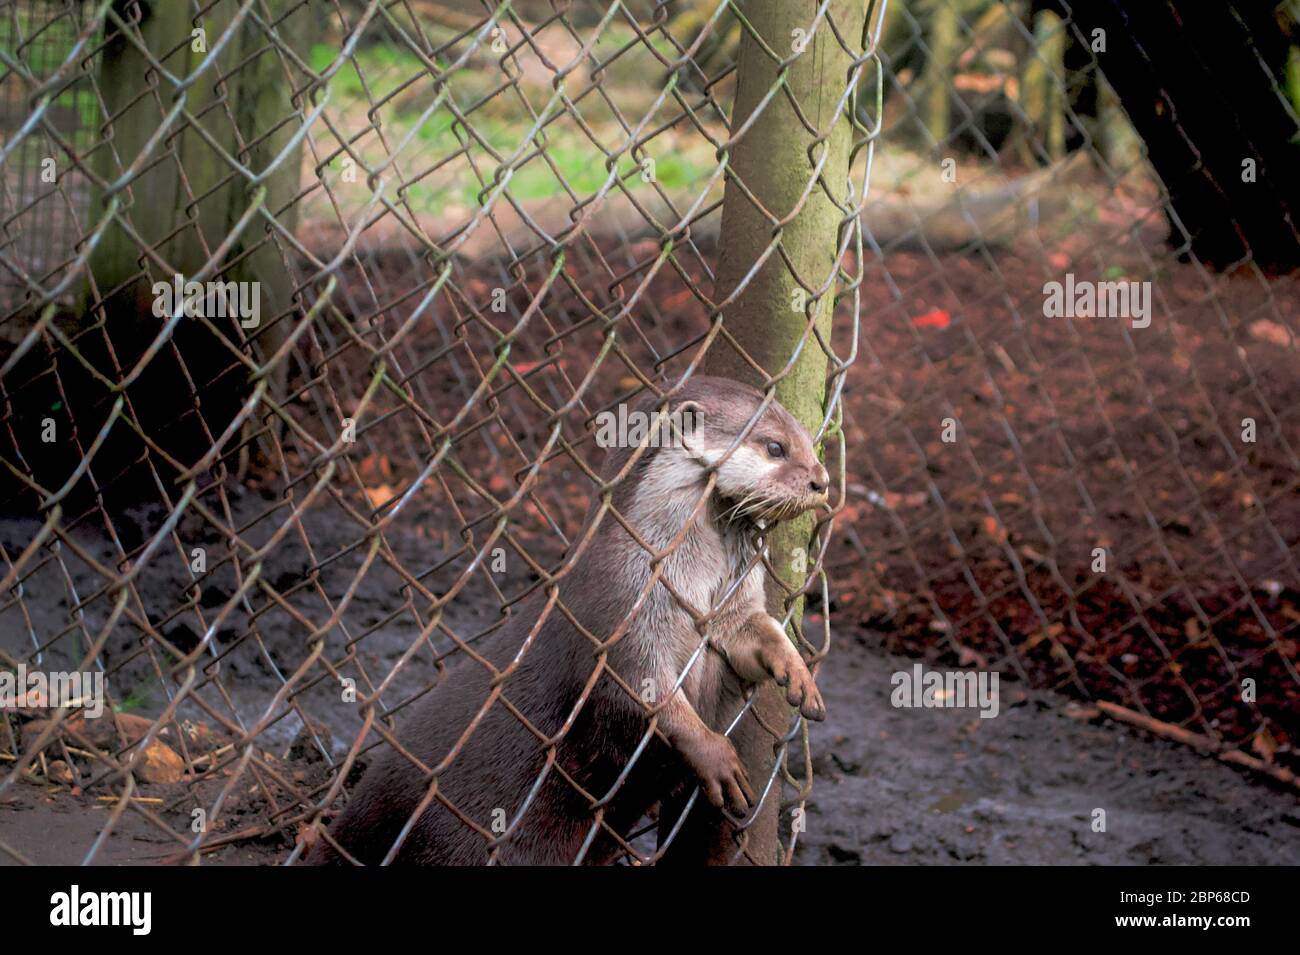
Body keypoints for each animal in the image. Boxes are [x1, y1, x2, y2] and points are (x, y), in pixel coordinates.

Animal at [306, 376, 829, 865]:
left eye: (809, 440)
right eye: (775, 447)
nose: (822, 481)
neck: (684, 574)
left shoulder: (730, 604)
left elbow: (754, 632)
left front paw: (798, 673)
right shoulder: (621, 612)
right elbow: (643, 693)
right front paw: (716, 755)